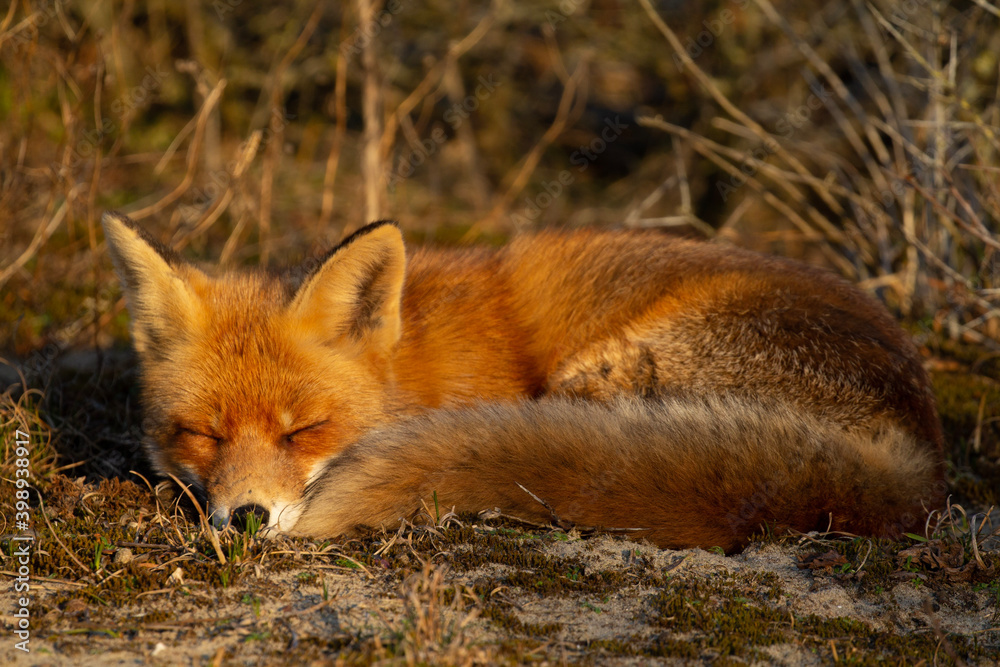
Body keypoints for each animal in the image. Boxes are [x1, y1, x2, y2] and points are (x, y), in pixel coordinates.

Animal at [102, 211, 945, 552]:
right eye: (202, 434)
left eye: (304, 429)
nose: (246, 518)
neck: (415, 362)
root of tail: (921, 465)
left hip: (601, 378)